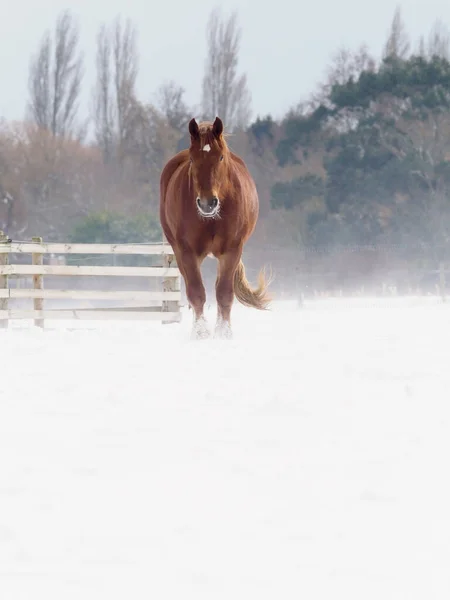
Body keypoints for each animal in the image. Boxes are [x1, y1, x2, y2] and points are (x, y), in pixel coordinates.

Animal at [159, 115, 270, 340]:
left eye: (220, 158)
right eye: (193, 159)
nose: (207, 203)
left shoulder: (231, 251)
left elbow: (224, 292)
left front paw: (224, 332)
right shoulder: (187, 252)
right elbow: (196, 292)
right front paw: (201, 332)